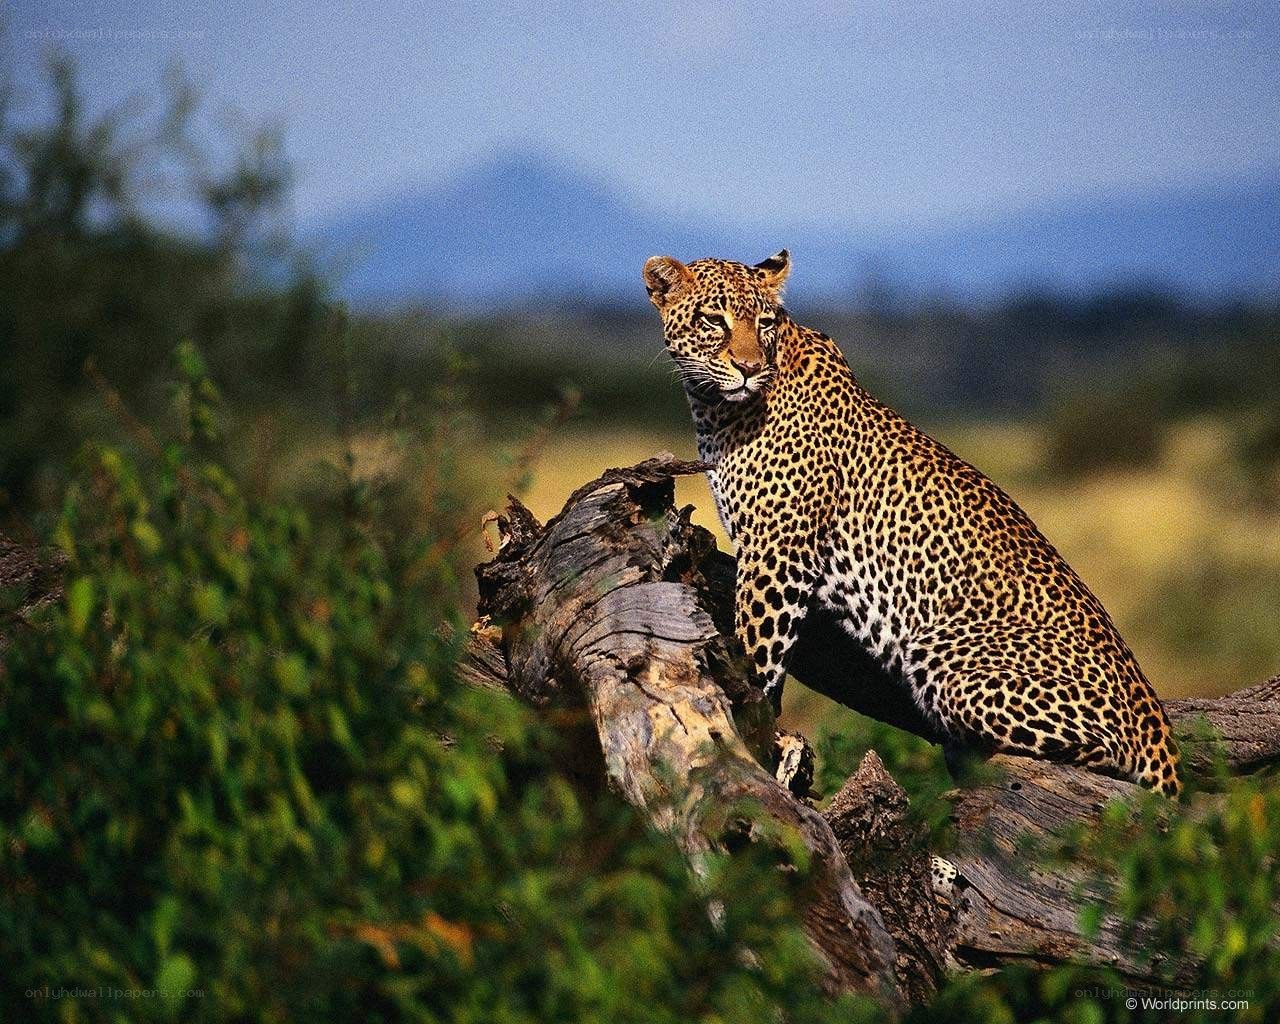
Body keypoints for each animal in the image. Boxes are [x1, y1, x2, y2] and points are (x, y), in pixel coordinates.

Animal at [642, 249, 1181, 796]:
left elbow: (758, 654)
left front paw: (756, 732)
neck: (714, 410)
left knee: (1104, 753)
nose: (750, 368)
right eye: (714, 320)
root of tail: (1155, 720)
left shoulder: (779, 551)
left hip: (942, 651)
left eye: (765, 322)